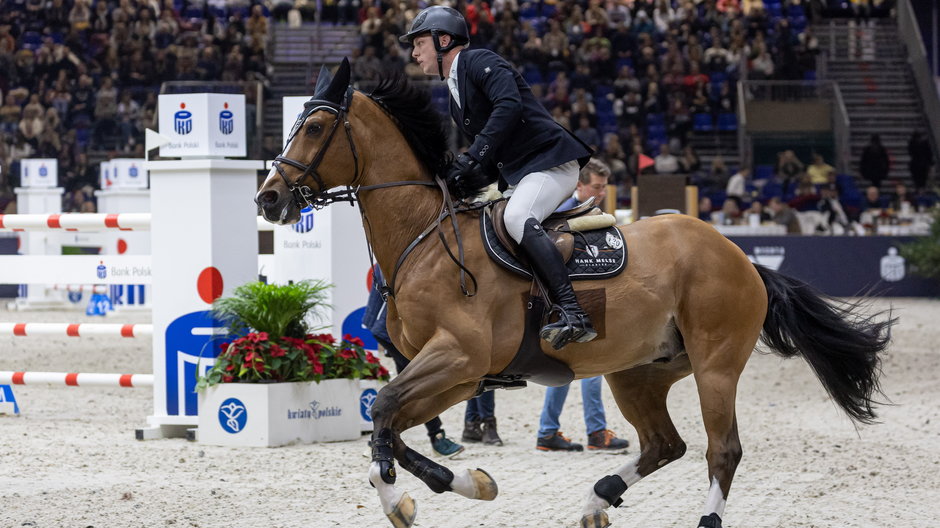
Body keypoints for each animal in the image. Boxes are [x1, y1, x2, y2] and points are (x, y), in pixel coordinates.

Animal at [253, 58, 892, 528]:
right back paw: (597, 500)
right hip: (639, 370)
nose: (268, 199)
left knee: (721, 450)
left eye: (314, 128)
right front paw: (463, 484)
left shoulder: (457, 357)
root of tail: (739, 255)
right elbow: (389, 430)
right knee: (666, 445)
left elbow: (384, 415)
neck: (424, 236)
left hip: (715, 365)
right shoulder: (458, 373)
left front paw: (404, 502)